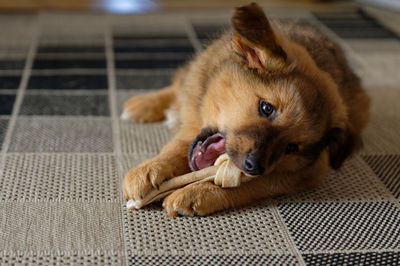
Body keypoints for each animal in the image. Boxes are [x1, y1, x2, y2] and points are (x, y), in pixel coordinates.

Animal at [121, 3, 368, 217]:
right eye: (266, 108)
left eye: (292, 147)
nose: (254, 166)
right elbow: (177, 146)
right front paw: (150, 169)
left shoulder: (300, 173)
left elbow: (249, 184)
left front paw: (199, 193)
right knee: (177, 84)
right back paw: (142, 104)